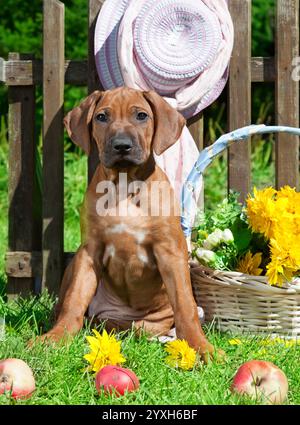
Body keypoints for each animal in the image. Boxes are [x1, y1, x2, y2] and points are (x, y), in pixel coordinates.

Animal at [40, 86, 218, 362]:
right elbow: (74, 301)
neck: (125, 185)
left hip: (149, 322)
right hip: (75, 262)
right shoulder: (90, 251)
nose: (121, 145)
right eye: (102, 117)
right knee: (70, 306)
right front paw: (57, 337)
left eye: (141, 116)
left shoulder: (170, 251)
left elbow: (185, 306)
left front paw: (200, 347)